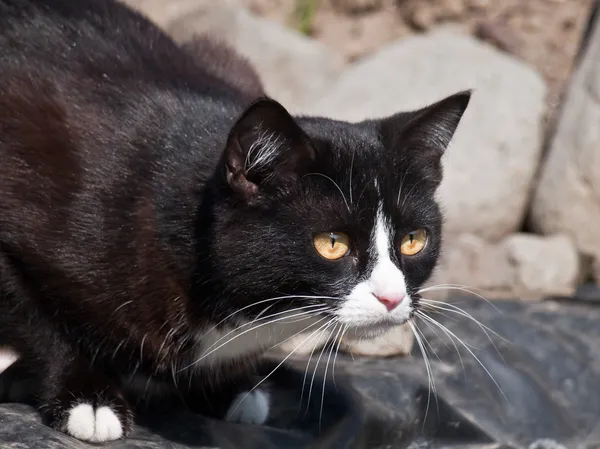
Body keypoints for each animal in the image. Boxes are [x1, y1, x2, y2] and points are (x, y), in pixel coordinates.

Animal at [0, 0, 468, 442]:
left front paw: (228, 387)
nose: (391, 297)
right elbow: (39, 321)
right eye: (332, 243)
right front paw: (88, 398)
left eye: (413, 240)